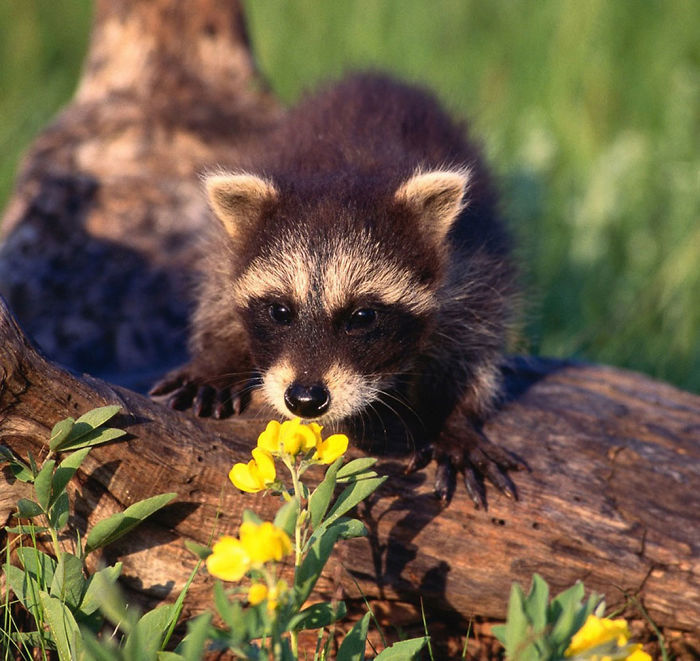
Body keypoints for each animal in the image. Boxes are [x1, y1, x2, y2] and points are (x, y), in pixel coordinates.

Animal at [151, 73, 520, 506]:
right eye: (280, 311)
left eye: (362, 316)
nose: (305, 400)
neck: (347, 169)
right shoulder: (228, 250)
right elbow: (217, 290)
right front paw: (218, 358)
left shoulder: (471, 259)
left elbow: (475, 337)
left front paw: (453, 417)